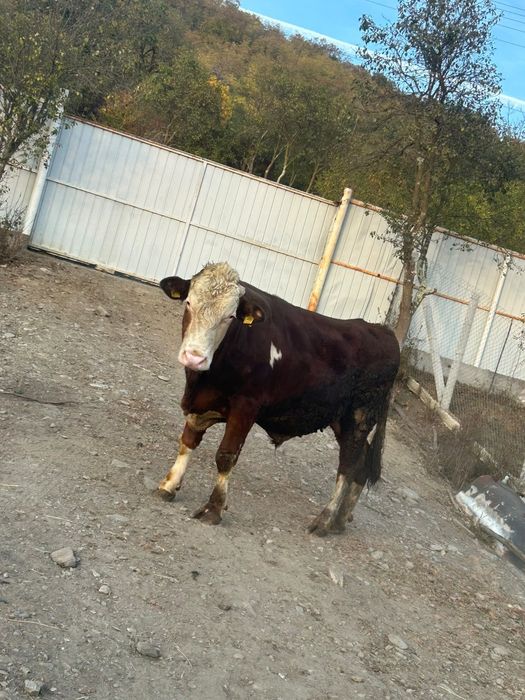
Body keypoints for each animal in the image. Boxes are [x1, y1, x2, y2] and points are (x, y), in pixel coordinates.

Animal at [158, 262, 400, 536]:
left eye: (229, 317)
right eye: (188, 302)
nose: (194, 357)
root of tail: (383, 331)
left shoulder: (246, 406)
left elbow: (226, 456)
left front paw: (213, 509)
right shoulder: (200, 402)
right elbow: (188, 441)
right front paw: (169, 484)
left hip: (360, 416)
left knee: (348, 465)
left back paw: (325, 520)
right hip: (343, 420)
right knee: (361, 461)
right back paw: (340, 520)